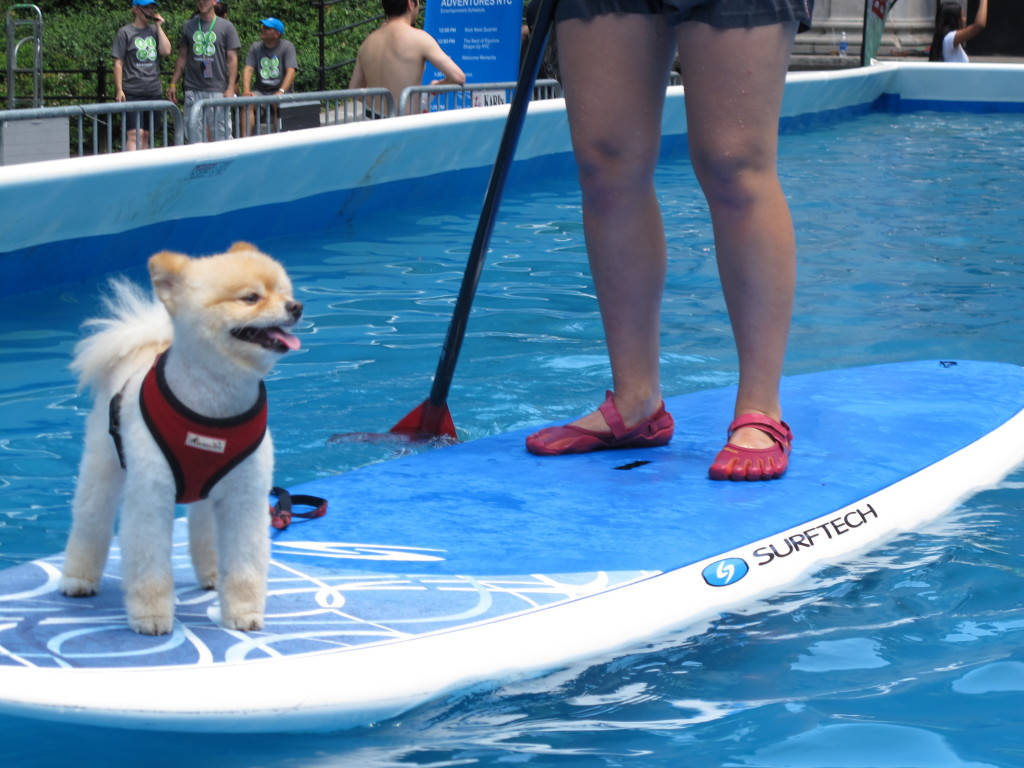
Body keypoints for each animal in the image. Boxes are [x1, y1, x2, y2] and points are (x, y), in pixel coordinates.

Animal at [59, 244, 301, 638]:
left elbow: (246, 564)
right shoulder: (151, 497)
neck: (213, 408)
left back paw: (213, 574)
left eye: (284, 292)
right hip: (103, 464)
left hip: (212, 489)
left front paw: (243, 612)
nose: (296, 307)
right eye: (251, 298)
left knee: (204, 527)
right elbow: (149, 565)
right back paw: (78, 579)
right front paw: (151, 617)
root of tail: (145, 343)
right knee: (91, 520)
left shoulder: (245, 498)